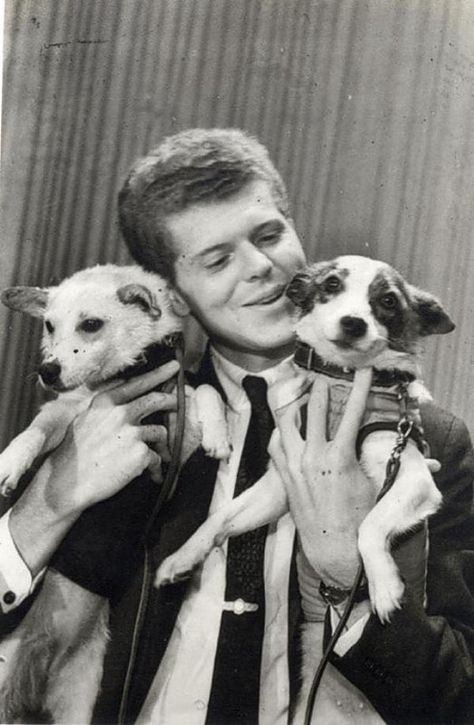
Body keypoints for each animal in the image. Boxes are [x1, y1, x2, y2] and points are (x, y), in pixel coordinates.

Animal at [0, 264, 229, 720]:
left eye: (91, 325)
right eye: (49, 325)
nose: (47, 371)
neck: (128, 372)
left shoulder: (179, 417)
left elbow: (207, 391)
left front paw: (219, 435)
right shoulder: (64, 413)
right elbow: (35, 430)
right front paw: (11, 462)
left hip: (79, 704)